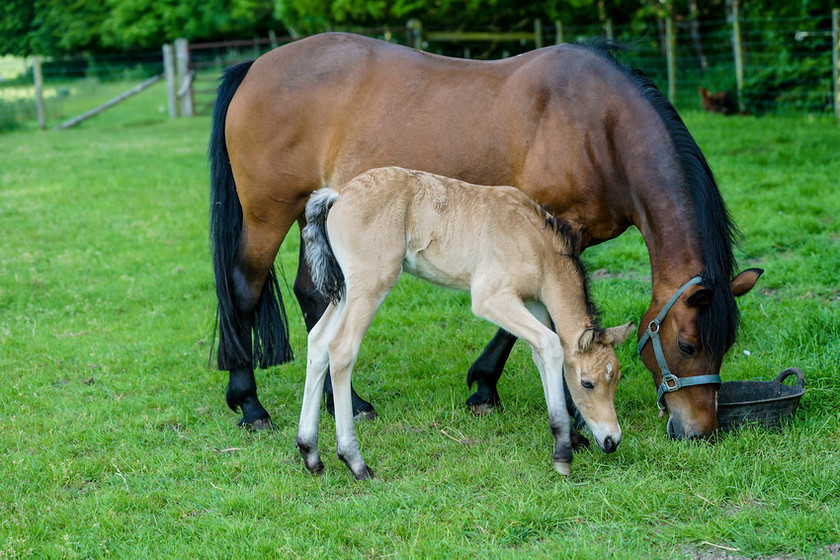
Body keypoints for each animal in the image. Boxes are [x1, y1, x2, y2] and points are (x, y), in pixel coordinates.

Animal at [210, 31, 760, 442]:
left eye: (726, 345)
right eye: (687, 345)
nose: (701, 431)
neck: (598, 126)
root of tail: (255, 66)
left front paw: (489, 389)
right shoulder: (557, 232)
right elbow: (544, 323)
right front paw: (516, 397)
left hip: (317, 221)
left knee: (314, 296)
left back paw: (344, 402)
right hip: (267, 215)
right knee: (243, 290)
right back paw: (251, 406)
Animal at [296, 166, 632, 476]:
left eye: (615, 378)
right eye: (587, 383)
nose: (612, 441)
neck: (534, 240)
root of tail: (338, 193)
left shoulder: (535, 303)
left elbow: (544, 352)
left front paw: (572, 438)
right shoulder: (491, 298)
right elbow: (551, 345)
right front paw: (563, 452)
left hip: (346, 290)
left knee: (318, 342)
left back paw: (310, 453)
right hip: (371, 284)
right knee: (341, 349)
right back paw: (355, 461)